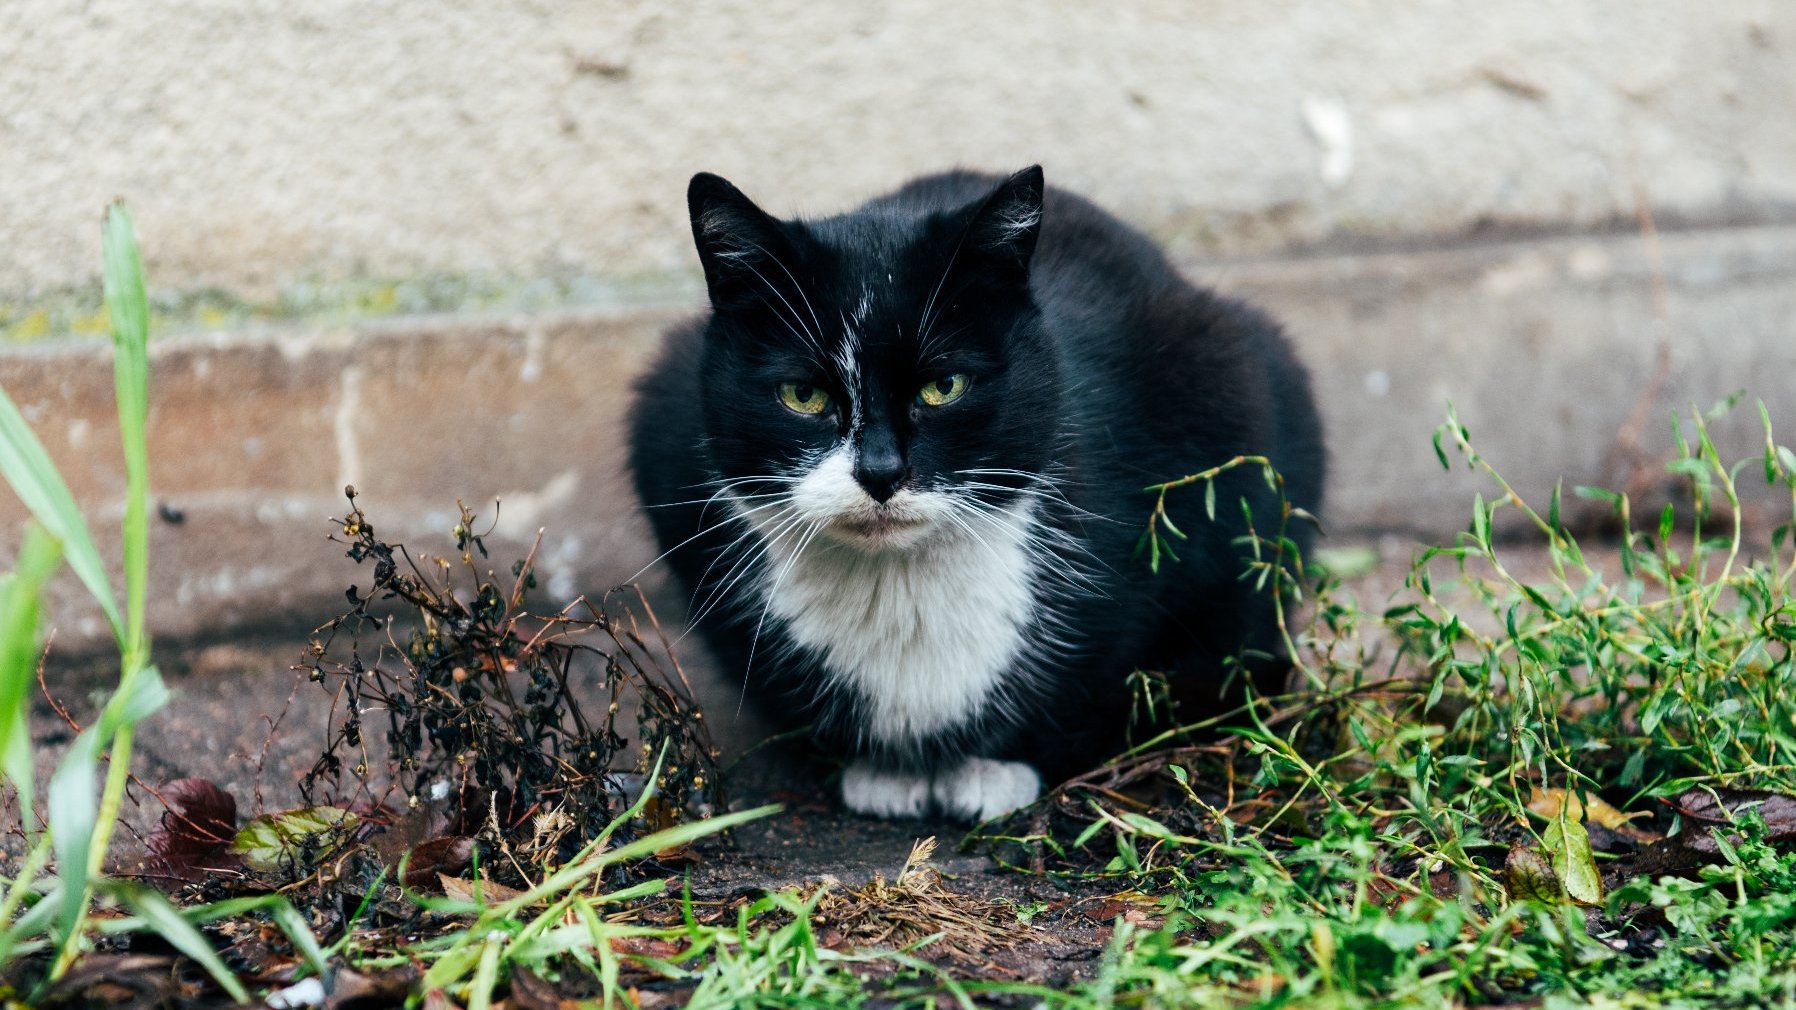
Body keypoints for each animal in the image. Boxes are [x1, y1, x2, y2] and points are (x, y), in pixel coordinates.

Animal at [628, 165, 1321, 823]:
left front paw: (992, 769)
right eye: (803, 395)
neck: (899, 582)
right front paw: (887, 771)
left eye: (945, 387)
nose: (881, 472)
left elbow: (1103, 673)